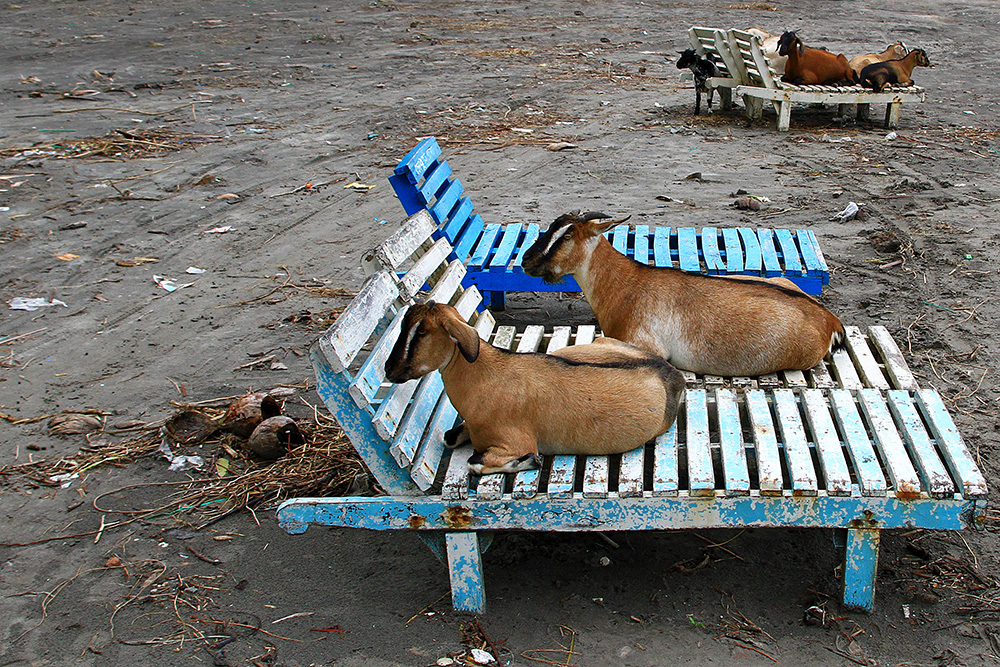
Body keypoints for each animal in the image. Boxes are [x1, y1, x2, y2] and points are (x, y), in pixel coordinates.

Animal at [378, 300, 684, 478]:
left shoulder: (515, 441)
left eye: (422, 332)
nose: (389, 369)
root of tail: (670, 374)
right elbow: (449, 436)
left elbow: (474, 462)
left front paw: (530, 462)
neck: (485, 376)